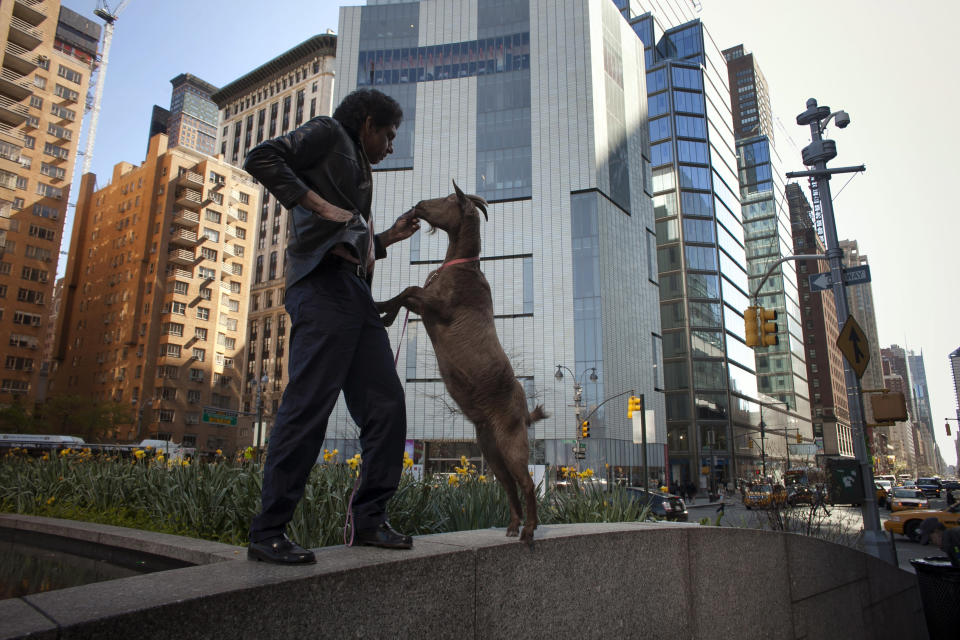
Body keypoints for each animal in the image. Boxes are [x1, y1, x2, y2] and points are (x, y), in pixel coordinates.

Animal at [378, 181, 552, 544]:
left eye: (448, 198)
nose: (417, 205)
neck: (460, 265)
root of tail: (524, 412)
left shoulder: (440, 308)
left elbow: (408, 288)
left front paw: (379, 308)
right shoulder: (427, 305)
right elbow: (406, 295)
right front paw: (386, 315)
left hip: (512, 442)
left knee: (527, 483)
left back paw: (529, 529)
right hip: (489, 448)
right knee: (508, 485)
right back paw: (513, 526)